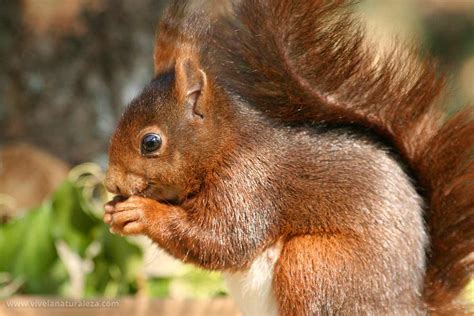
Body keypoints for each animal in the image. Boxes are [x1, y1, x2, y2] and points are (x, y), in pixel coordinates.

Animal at [103, 1, 474, 314]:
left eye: (151, 142)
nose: (110, 183)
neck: (226, 145)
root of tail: (410, 305)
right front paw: (111, 211)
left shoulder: (249, 185)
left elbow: (222, 239)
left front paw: (141, 212)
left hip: (313, 266)